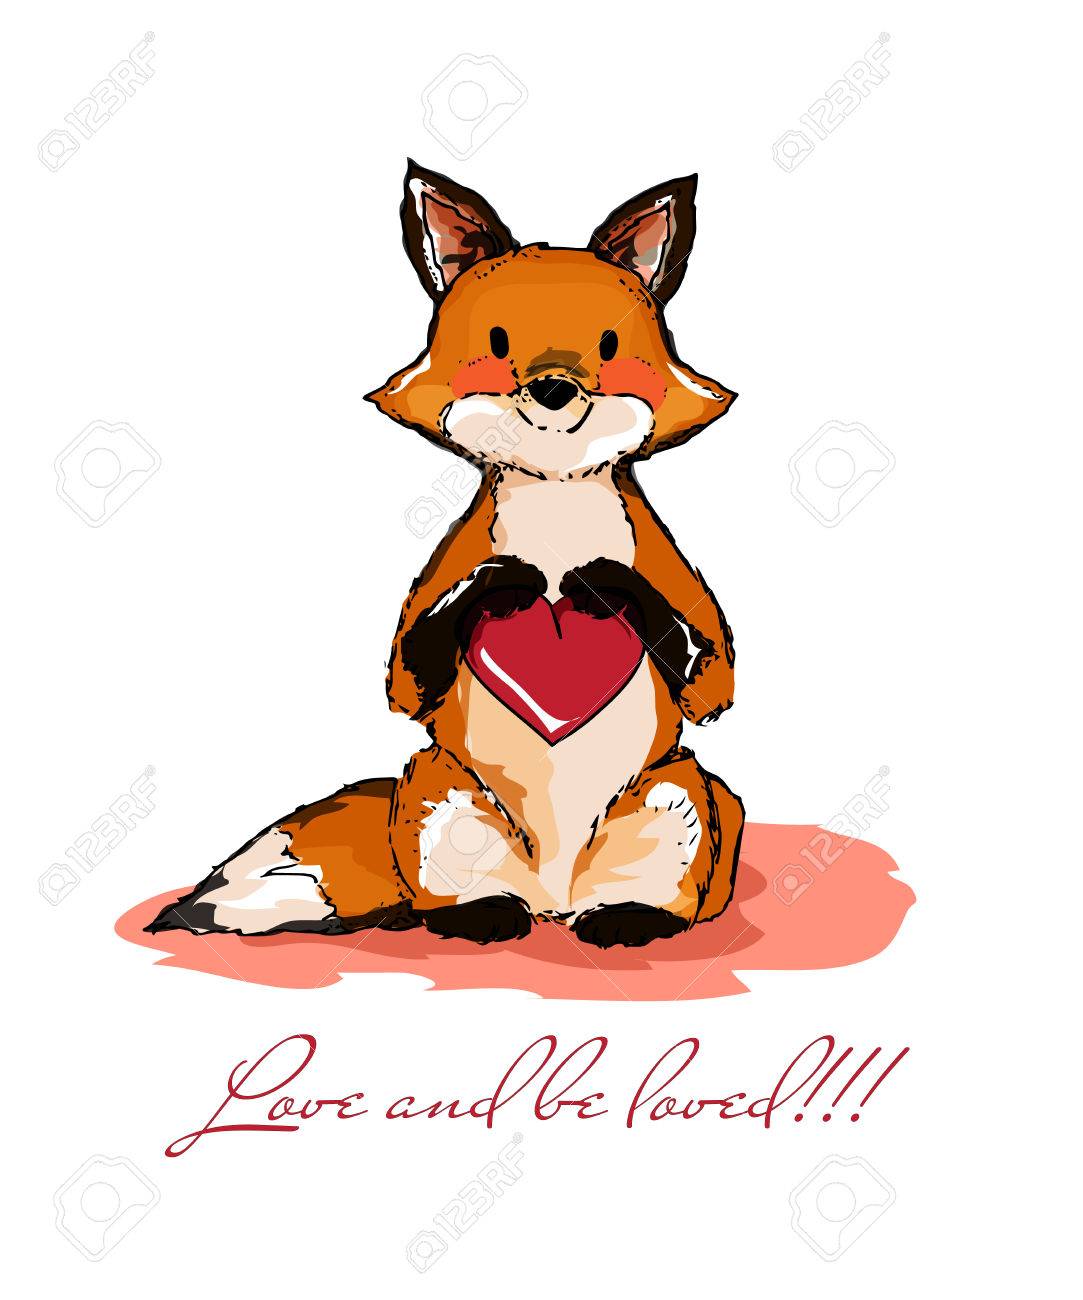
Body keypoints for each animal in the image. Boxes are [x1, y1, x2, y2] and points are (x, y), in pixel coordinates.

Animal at [149, 160, 744, 949]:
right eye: (497, 339)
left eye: (609, 345)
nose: (553, 387)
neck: (556, 515)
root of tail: (554, 897)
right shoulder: (420, 638)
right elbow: (420, 660)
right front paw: (507, 583)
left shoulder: (693, 630)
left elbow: (703, 669)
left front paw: (597, 584)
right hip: (442, 794)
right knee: (452, 900)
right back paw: (483, 916)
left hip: (682, 797)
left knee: (652, 897)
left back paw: (622, 921)